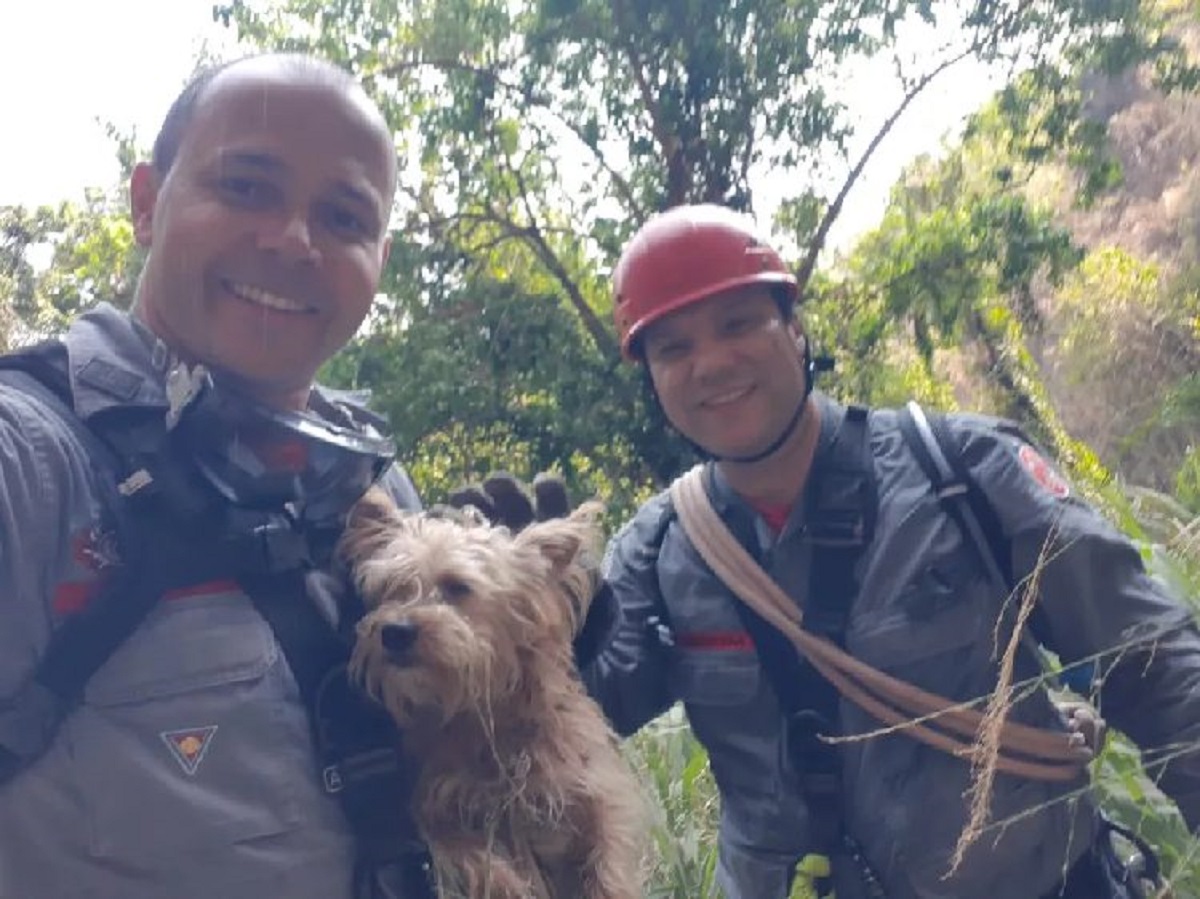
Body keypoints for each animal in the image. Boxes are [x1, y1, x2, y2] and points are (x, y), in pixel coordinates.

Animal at [338, 487, 648, 897]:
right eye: (388, 588)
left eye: (458, 586)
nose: (395, 632)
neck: (490, 723)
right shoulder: (436, 810)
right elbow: (476, 861)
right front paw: (511, 884)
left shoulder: (596, 798)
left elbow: (607, 869)